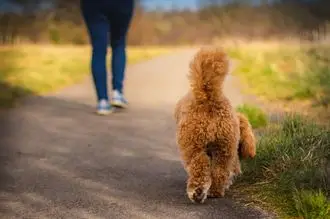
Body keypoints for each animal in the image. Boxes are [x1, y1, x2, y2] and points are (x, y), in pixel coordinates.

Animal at [174, 47, 256, 203]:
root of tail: (210, 99)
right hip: (224, 148)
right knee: (219, 172)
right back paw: (215, 192)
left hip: (193, 145)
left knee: (200, 166)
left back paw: (198, 192)